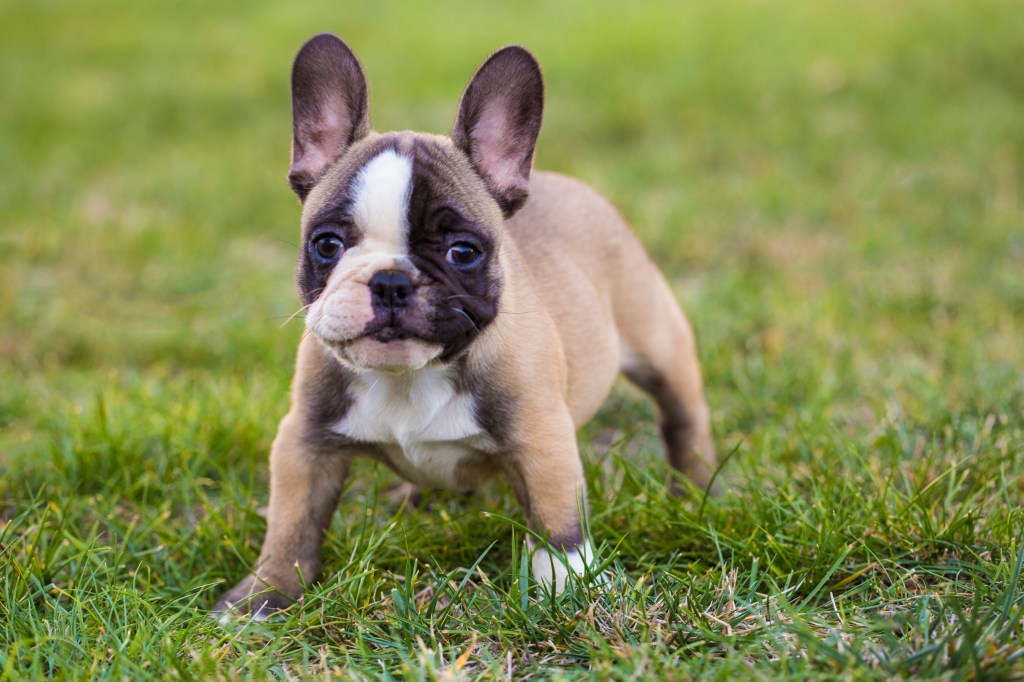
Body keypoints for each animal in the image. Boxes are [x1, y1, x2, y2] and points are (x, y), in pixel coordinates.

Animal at [216, 31, 716, 614]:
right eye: (326, 244)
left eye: (463, 252)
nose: (391, 282)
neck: (410, 378)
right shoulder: (305, 441)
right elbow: (291, 525)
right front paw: (262, 597)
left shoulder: (541, 438)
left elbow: (557, 524)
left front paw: (568, 589)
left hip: (660, 342)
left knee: (682, 415)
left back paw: (695, 490)